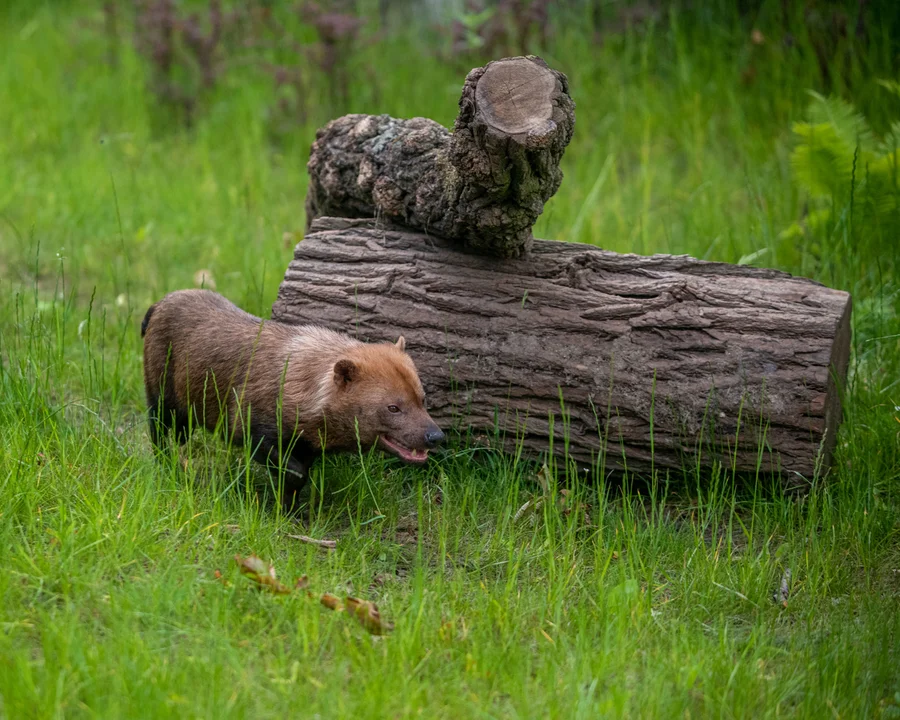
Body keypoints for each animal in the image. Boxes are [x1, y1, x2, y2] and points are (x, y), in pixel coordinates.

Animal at [140, 288, 442, 506]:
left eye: (422, 398)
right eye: (393, 407)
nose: (436, 436)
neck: (299, 383)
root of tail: (157, 304)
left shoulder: (305, 446)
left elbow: (295, 481)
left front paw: (289, 513)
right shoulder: (249, 428)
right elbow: (294, 474)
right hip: (161, 399)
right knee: (157, 435)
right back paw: (169, 468)